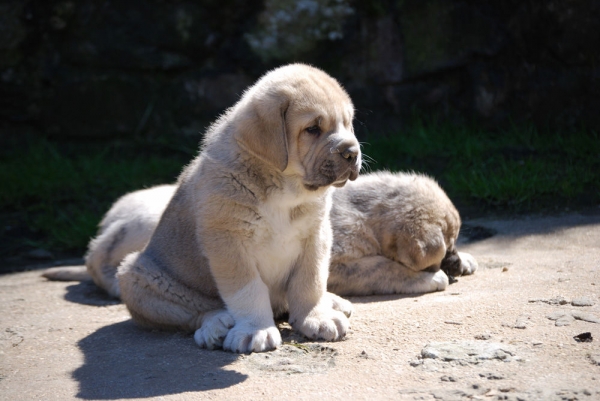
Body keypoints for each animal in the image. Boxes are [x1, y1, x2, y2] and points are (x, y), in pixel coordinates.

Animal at [44, 170, 478, 298]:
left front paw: (468, 260)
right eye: (444, 247)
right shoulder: (342, 265)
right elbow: (383, 269)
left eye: (455, 242)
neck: (365, 212)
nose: (453, 261)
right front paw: (432, 277)